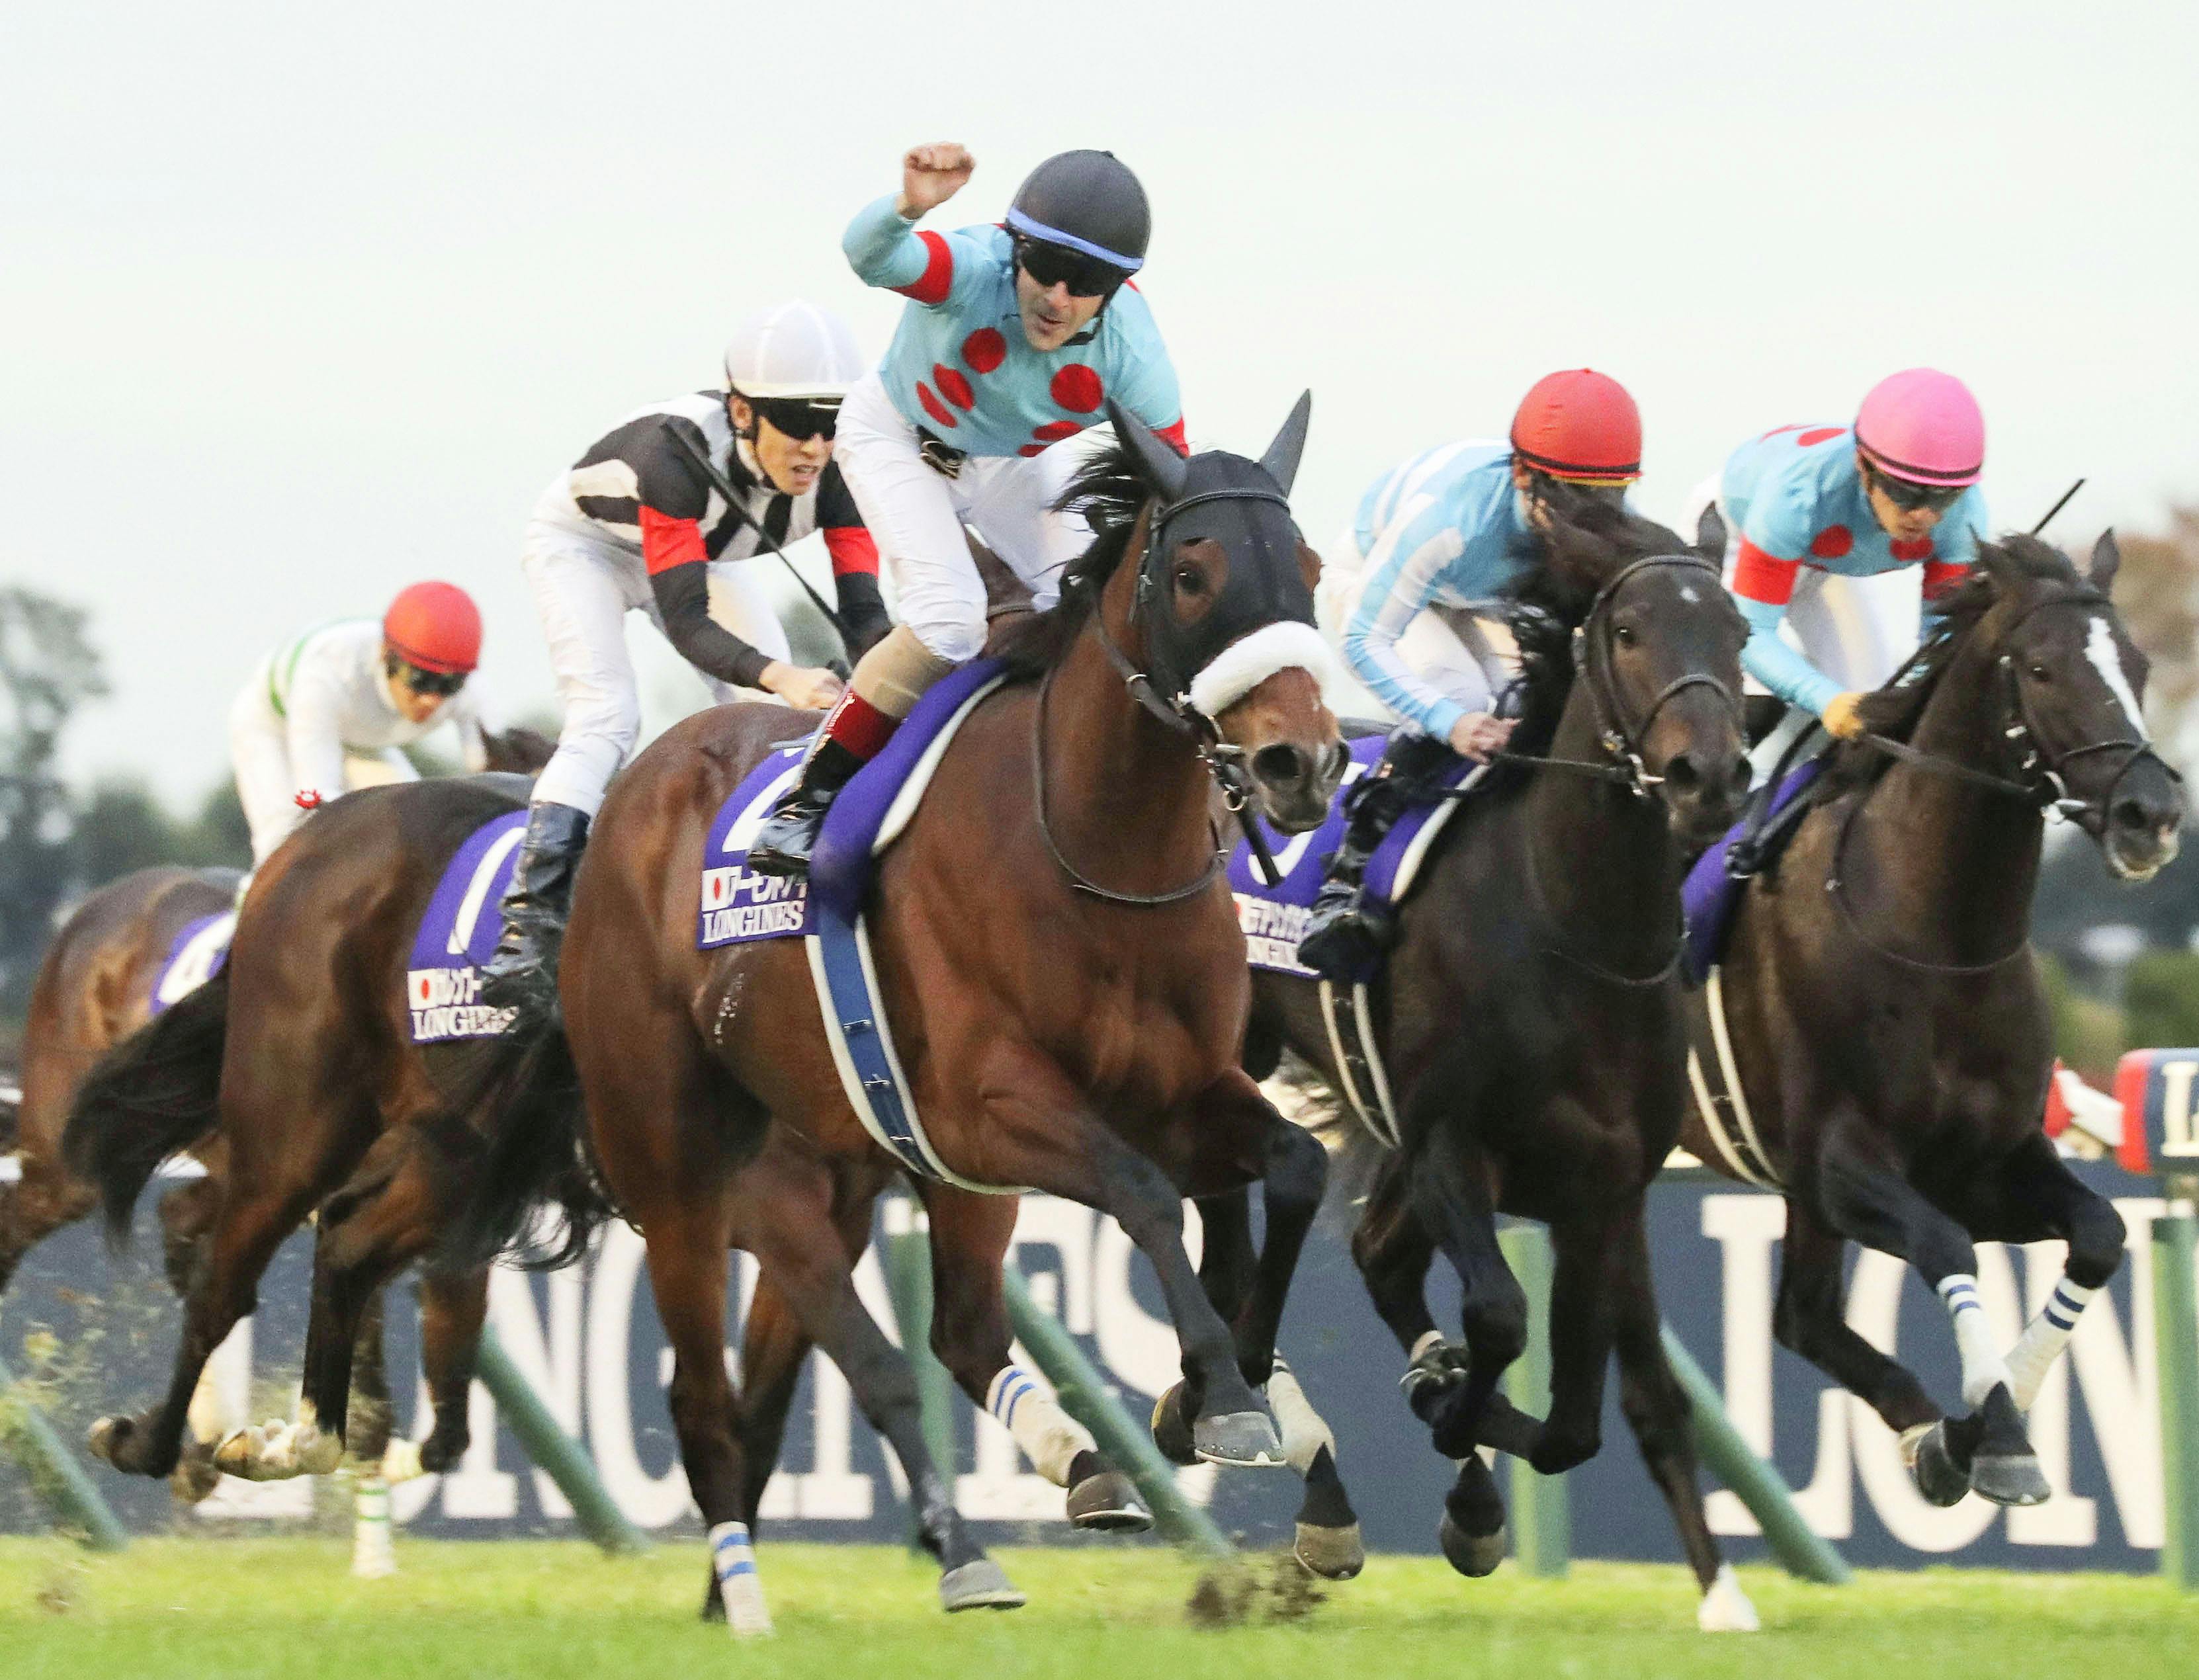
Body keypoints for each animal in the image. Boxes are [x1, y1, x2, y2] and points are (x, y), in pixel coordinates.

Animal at [446, 399, 1361, 1618]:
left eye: (1306, 569)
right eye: (1194, 574)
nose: (1300, 762)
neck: (1093, 848)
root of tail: (631, 800)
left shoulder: (1173, 1090)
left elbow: (1291, 1171)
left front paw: (1223, 1389)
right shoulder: (985, 1104)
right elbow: (1142, 1194)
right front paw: (1215, 1388)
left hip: (901, 1178)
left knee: (953, 1333)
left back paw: (1063, 1477)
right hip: (689, 1169)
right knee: (730, 1385)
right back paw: (821, 1581)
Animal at [1239, 497, 1756, 1604]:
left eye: (1737, 633)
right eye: (1629, 631)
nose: (1709, 777)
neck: (1572, 930)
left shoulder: (1606, 1187)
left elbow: (1576, 1419)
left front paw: (1467, 1473)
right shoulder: (1448, 1140)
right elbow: (1501, 1318)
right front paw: (1448, 1415)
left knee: (1378, 1256)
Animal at [1677, 531, 2183, 1507]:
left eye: (2137, 662)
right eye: (2041, 667)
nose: (2154, 815)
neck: (1938, 939)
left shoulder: (1983, 1162)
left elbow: (2102, 1235)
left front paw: (1976, 1427)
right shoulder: (1841, 1161)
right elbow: (1947, 1246)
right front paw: (1998, 1431)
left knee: (1802, 1320)